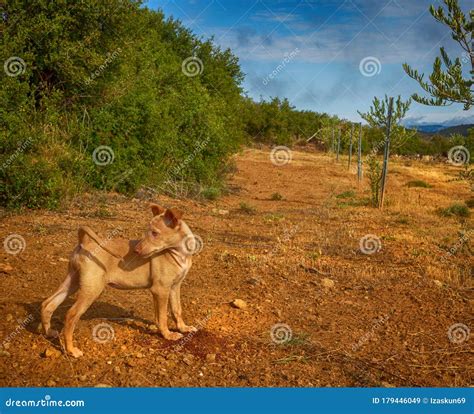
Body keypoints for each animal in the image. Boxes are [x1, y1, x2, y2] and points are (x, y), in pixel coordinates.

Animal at [40, 205, 196, 358]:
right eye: (147, 232)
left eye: (155, 233)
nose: (136, 251)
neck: (179, 254)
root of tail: (85, 242)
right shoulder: (160, 289)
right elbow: (162, 317)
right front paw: (168, 335)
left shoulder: (175, 286)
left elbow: (177, 310)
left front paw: (183, 328)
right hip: (92, 289)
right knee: (71, 315)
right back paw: (71, 350)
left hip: (73, 282)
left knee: (48, 304)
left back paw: (49, 332)